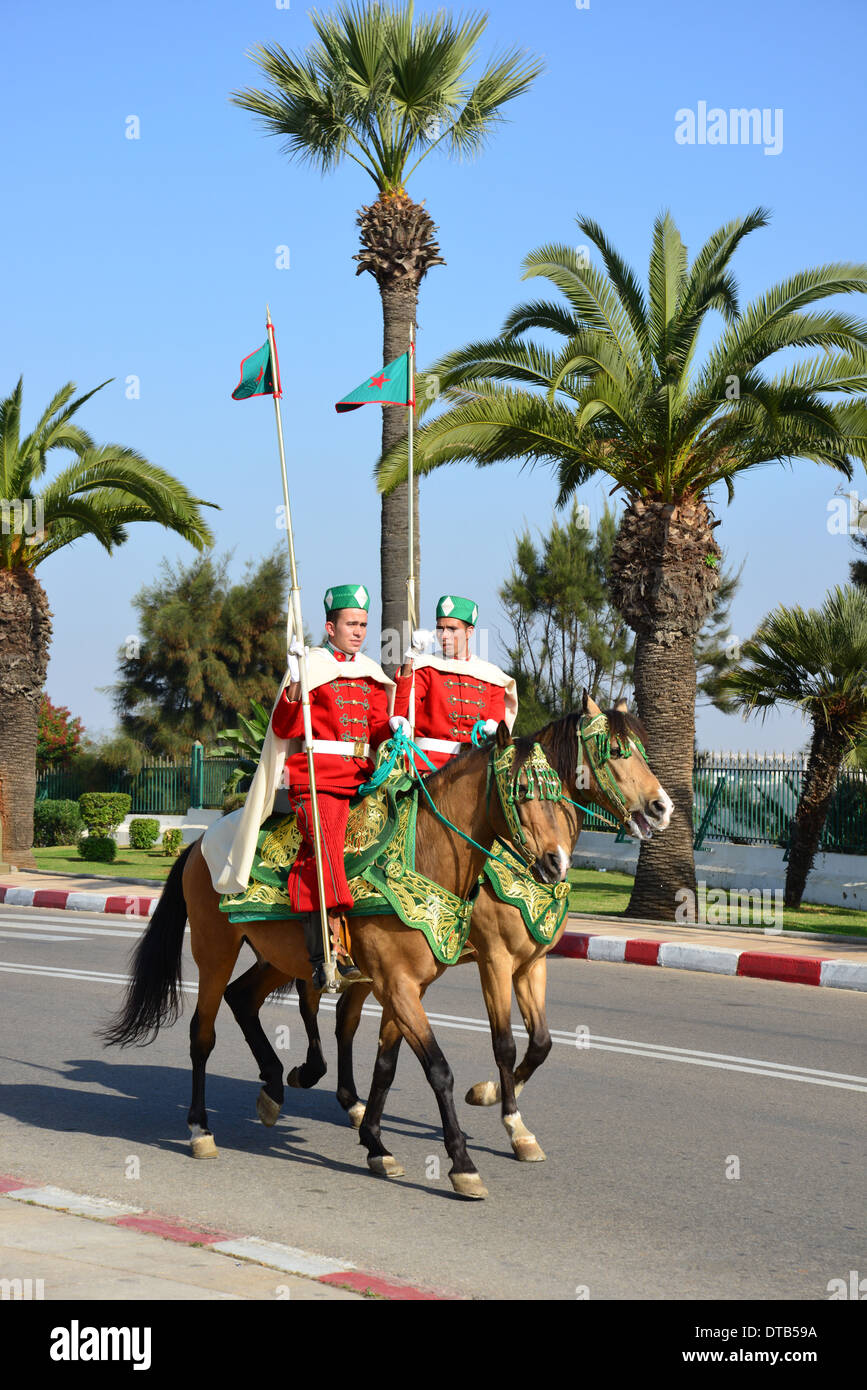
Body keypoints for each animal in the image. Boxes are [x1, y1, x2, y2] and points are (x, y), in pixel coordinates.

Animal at [101, 722, 572, 1200]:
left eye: (560, 794)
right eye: (521, 791)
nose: (558, 863)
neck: (422, 853)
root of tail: (199, 843)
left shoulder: (412, 987)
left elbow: (387, 1066)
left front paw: (376, 1144)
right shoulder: (427, 978)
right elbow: (443, 1068)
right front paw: (465, 1162)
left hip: (279, 955)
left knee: (245, 998)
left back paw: (276, 1086)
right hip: (215, 950)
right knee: (204, 1033)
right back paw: (201, 1129)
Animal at [222, 692, 669, 1162]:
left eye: (642, 750)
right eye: (616, 750)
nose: (662, 807)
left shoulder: (531, 961)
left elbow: (541, 1042)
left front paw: (489, 1093)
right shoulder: (494, 960)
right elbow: (505, 1043)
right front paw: (512, 1123)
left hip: (316, 961)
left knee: (320, 1010)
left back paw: (345, 1100)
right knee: (309, 999)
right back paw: (308, 1076)